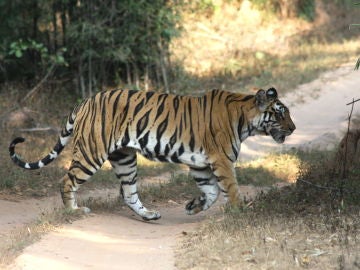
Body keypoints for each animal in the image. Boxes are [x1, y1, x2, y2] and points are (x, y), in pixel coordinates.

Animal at [8, 87, 296, 220]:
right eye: (280, 113)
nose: (293, 128)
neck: (246, 119)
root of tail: (86, 100)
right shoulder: (222, 161)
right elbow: (231, 189)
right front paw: (240, 212)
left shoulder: (200, 164)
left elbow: (212, 192)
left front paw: (193, 206)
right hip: (91, 152)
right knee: (67, 180)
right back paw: (74, 211)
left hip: (125, 158)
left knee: (128, 192)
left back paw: (148, 215)